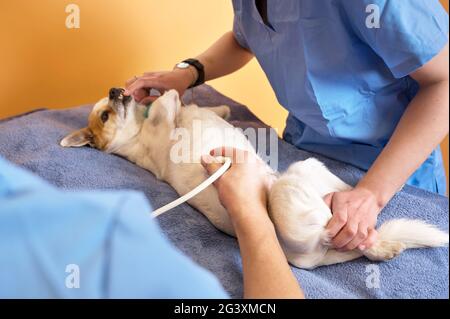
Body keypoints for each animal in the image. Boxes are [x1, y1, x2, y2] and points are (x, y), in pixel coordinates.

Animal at [61, 87, 448, 270]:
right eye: (105, 115)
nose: (116, 89)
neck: (139, 131)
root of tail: (310, 256)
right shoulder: (162, 130)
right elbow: (168, 106)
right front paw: (168, 97)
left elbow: (207, 107)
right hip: (298, 180)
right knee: (352, 231)